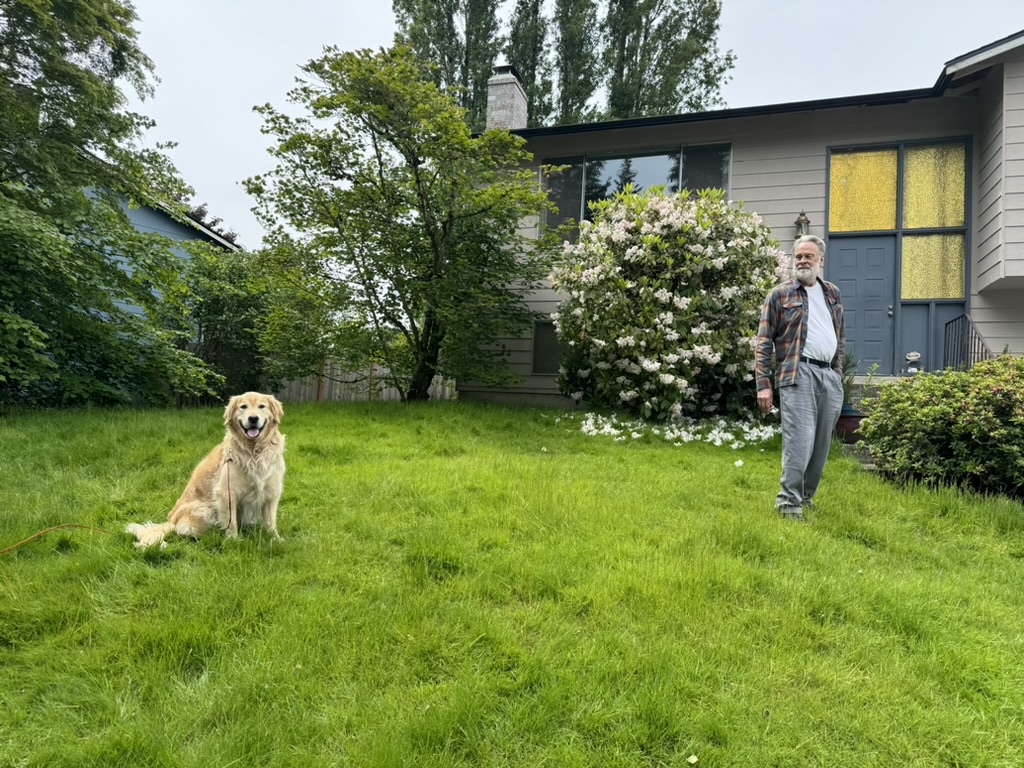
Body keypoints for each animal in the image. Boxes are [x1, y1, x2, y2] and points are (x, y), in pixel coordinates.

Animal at [130, 393, 288, 548]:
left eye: (262, 406)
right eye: (243, 407)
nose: (253, 418)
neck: (254, 451)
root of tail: (171, 520)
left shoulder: (272, 490)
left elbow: (271, 520)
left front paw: (275, 539)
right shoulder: (227, 492)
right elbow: (231, 522)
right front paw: (234, 540)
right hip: (204, 509)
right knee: (183, 532)